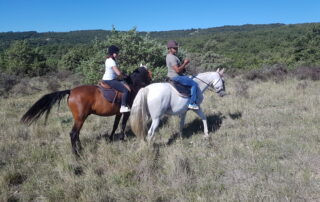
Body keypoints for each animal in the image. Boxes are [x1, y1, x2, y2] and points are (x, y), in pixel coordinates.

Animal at [20, 67, 152, 155]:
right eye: (148, 74)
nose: (151, 82)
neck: (131, 86)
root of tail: (71, 91)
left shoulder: (119, 113)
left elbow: (115, 126)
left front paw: (111, 139)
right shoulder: (126, 112)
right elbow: (123, 125)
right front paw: (122, 139)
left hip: (80, 118)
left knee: (77, 133)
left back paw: (80, 148)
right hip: (80, 118)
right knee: (73, 133)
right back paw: (76, 153)